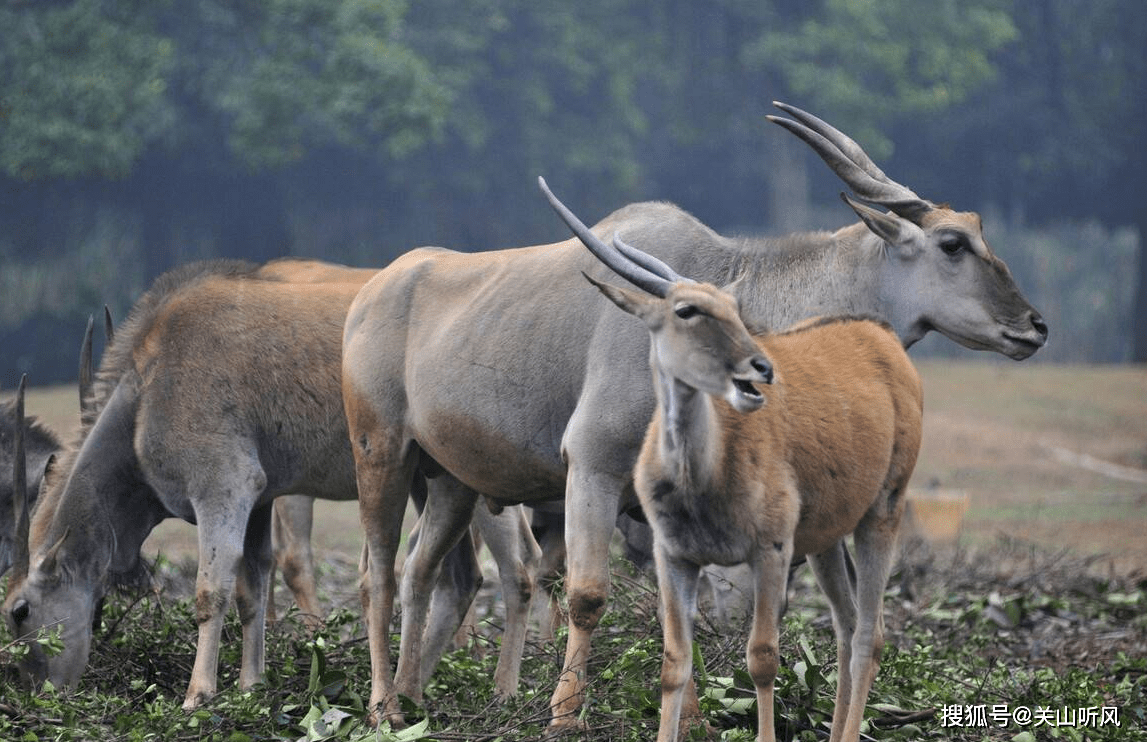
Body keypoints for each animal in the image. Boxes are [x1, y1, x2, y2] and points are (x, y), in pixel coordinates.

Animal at [582, 230, 922, 742]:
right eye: (687, 310)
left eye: (735, 308)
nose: (761, 368)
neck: (702, 480)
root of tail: (882, 337)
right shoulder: (674, 555)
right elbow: (674, 662)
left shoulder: (771, 549)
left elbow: (762, 658)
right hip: (824, 539)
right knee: (845, 626)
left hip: (884, 509)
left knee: (870, 633)